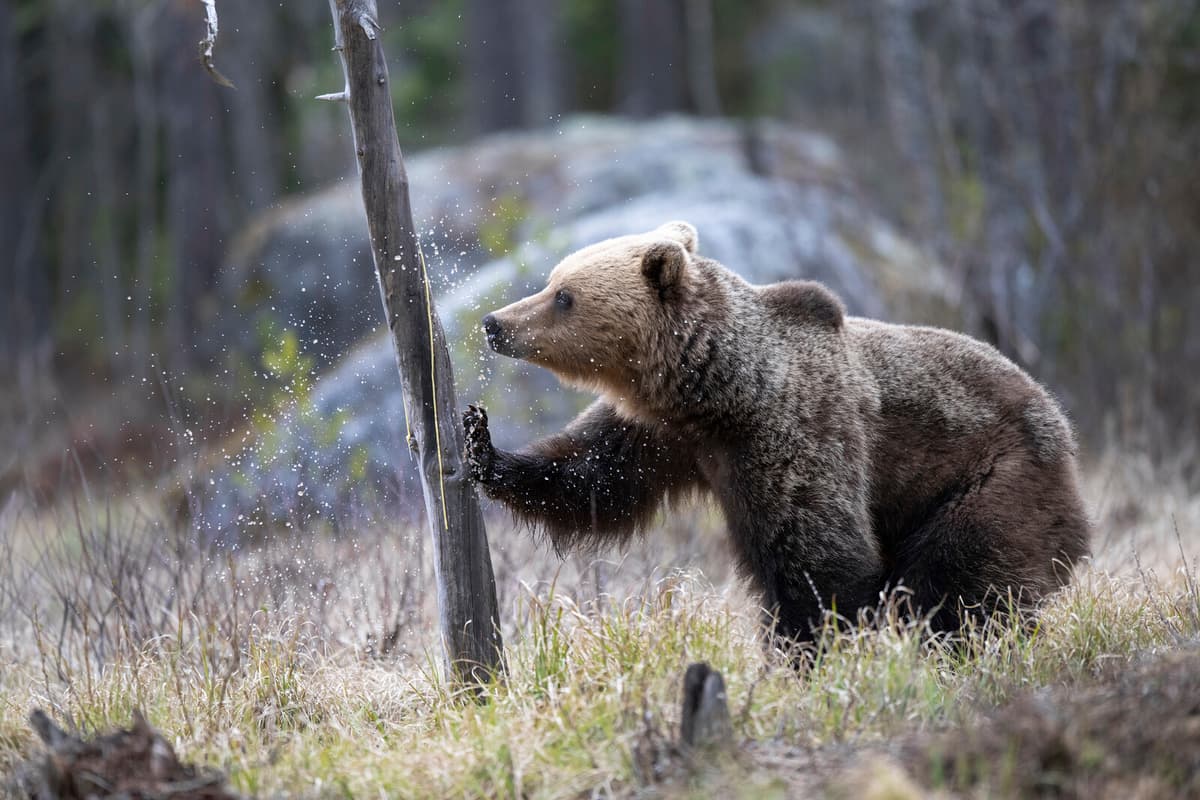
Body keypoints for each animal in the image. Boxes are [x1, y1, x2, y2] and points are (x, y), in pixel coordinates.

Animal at [462, 221, 1091, 643]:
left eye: (563, 295)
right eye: (553, 281)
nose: (495, 323)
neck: (720, 392)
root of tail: (1061, 422)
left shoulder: (793, 434)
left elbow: (817, 562)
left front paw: (806, 654)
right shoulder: (661, 435)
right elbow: (592, 478)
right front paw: (480, 445)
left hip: (995, 480)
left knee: (956, 584)